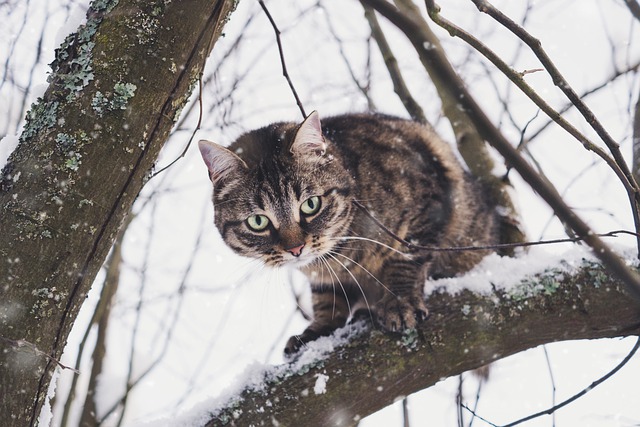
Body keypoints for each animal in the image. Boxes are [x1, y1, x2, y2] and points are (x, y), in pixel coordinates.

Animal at [199, 111, 500, 358]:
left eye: (310, 204)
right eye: (258, 221)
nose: (296, 249)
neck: (340, 256)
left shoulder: (426, 207)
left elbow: (405, 257)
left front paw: (399, 301)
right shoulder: (323, 278)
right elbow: (327, 300)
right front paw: (318, 330)